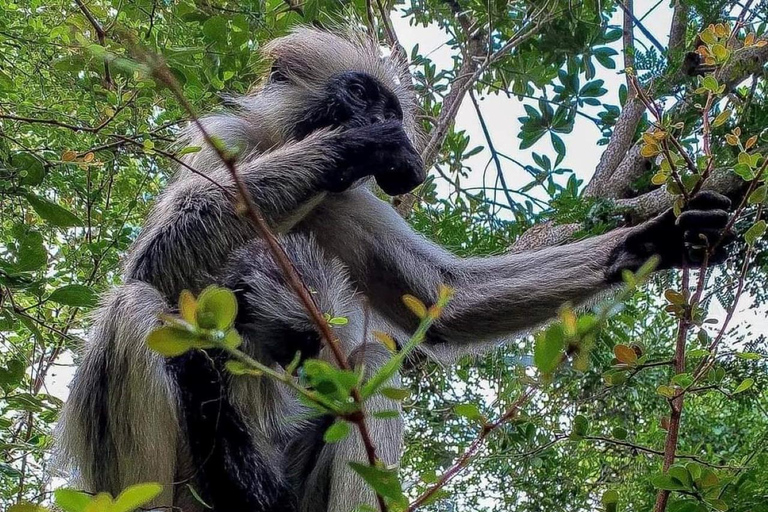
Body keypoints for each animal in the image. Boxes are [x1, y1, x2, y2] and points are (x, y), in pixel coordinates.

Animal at [55, 25, 736, 512]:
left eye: (386, 102)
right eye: (360, 94)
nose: (383, 120)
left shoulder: (346, 201)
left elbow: (445, 299)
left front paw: (653, 241)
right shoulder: (234, 155)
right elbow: (153, 267)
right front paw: (347, 145)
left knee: (370, 360)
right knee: (136, 306)